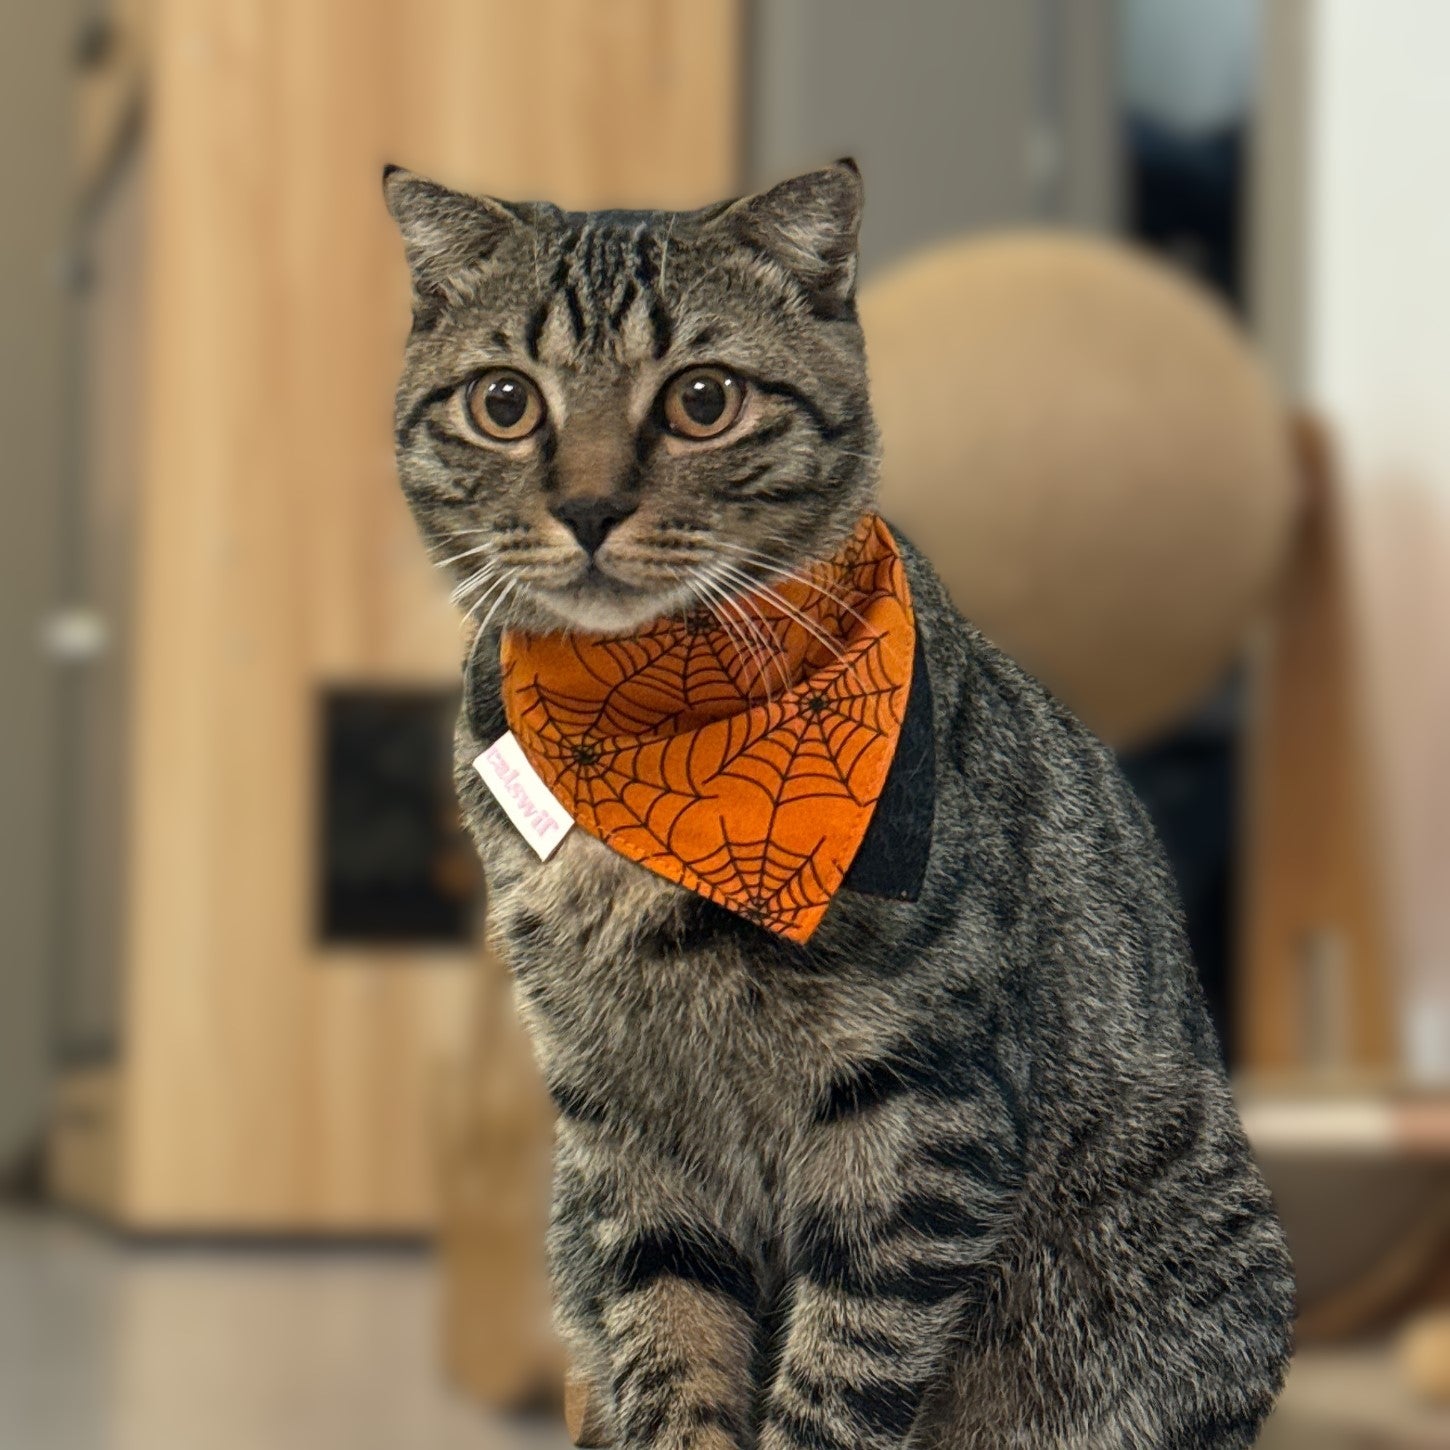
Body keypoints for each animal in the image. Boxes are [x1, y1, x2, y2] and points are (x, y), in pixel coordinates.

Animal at [382, 161, 1293, 1450]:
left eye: (703, 399)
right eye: (504, 402)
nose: (590, 507)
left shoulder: (915, 1105)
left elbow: (845, 1368)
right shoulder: (620, 1108)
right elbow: (666, 1330)